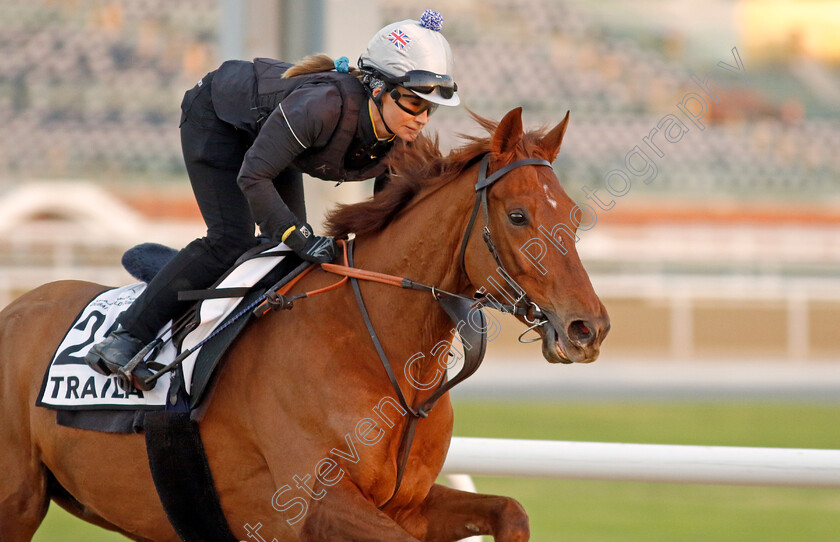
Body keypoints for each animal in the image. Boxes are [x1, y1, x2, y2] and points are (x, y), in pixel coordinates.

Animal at [0, 108, 608, 540]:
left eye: (574, 215)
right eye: (518, 216)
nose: (588, 328)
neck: (379, 350)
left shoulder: (407, 503)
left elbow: (512, 511)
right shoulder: (313, 505)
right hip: (17, 502)